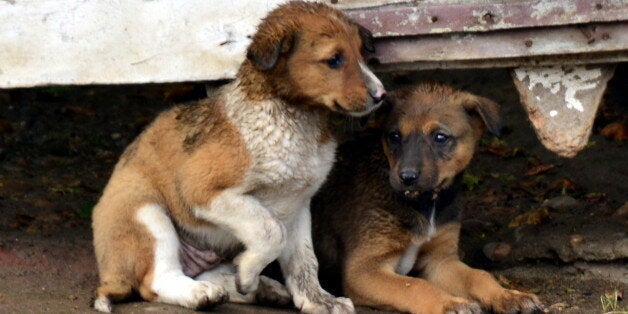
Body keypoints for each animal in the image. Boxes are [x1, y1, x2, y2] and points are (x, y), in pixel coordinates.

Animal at [91, 1, 386, 312]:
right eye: (334, 60)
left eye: (361, 53)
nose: (381, 95)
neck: (294, 119)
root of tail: (110, 277)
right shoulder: (206, 192)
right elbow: (272, 232)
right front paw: (247, 272)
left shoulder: (298, 204)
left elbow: (304, 260)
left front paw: (318, 300)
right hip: (146, 213)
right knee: (157, 281)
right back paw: (201, 293)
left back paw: (259, 289)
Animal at [312, 82, 544, 312]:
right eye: (394, 136)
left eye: (440, 137)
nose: (406, 177)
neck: (424, 203)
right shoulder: (364, 267)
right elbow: (415, 285)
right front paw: (449, 304)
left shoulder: (440, 260)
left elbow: (479, 276)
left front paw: (508, 296)